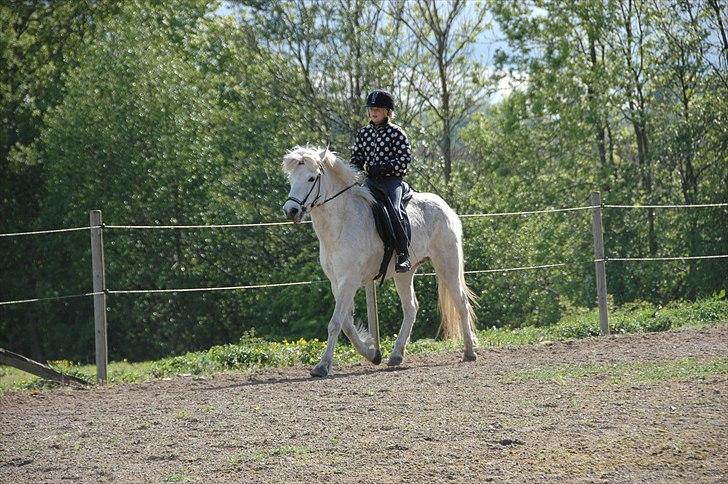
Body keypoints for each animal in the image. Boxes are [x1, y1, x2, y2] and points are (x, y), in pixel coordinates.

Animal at [282, 146, 478, 376]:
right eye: (291, 179)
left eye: (312, 178)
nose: (291, 211)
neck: (342, 222)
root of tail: (446, 208)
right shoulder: (337, 282)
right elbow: (346, 324)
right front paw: (372, 354)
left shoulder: (350, 281)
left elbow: (336, 322)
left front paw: (322, 366)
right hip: (405, 273)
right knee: (411, 307)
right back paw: (396, 355)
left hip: (447, 265)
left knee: (461, 303)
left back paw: (469, 352)